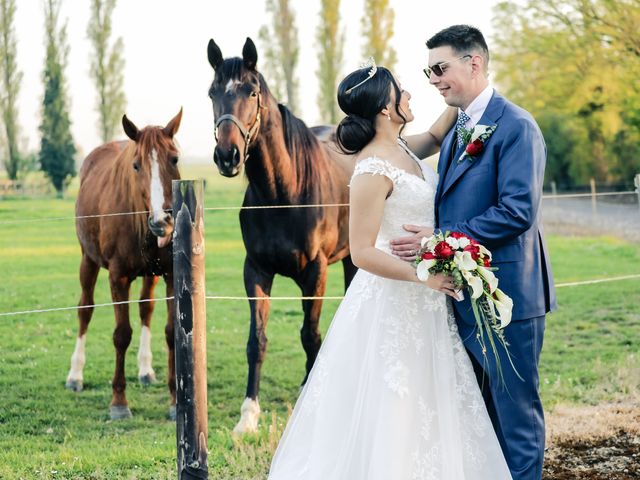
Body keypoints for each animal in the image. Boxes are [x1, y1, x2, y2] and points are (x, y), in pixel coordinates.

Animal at [66, 110, 182, 418]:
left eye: (175, 159)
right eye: (136, 165)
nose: (162, 221)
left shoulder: (170, 275)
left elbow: (170, 333)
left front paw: (175, 401)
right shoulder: (117, 278)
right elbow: (121, 335)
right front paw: (118, 402)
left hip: (150, 275)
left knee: (146, 309)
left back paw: (145, 369)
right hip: (88, 261)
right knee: (85, 310)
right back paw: (75, 375)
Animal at [206, 39, 356, 434]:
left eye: (251, 91)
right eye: (212, 92)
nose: (227, 156)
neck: (282, 194)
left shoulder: (315, 272)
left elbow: (310, 334)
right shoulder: (256, 271)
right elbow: (256, 341)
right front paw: (248, 415)